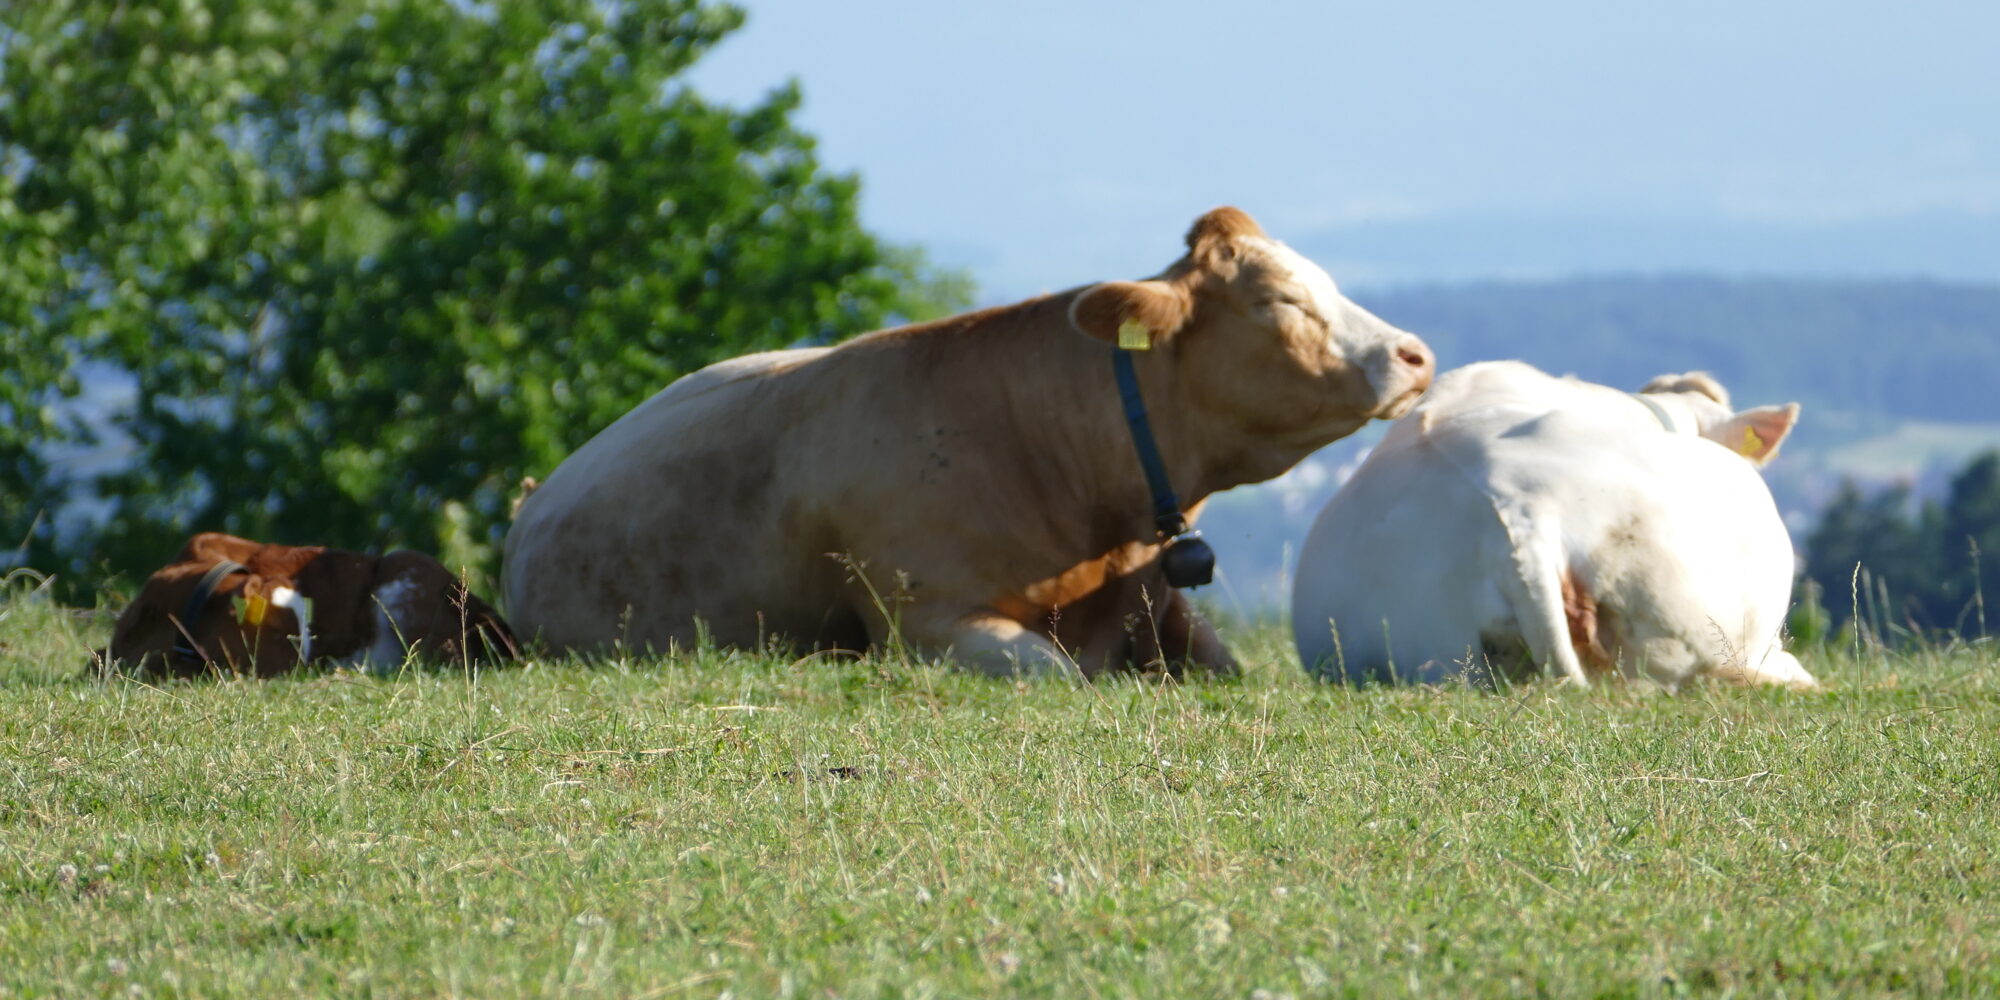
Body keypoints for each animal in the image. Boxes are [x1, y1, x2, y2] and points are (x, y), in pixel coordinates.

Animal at [508, 209, 1432, 680]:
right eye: (1280, 300)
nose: (1415, 355)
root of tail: (533, 503)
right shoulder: (926, 619)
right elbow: (1056, 672)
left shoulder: (1164, 609)